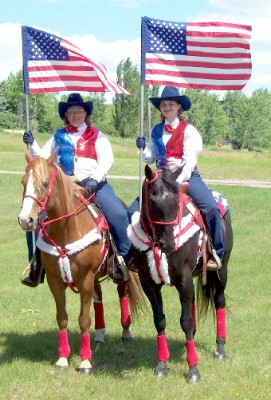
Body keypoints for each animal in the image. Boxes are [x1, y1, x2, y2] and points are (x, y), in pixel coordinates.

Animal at [17, 152, 143, 374]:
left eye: (44, 183)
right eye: (24, 182)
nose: (26, 220)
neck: (66, 231)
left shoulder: (85, 279)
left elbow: (84, 319)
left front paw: (85, 361)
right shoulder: (55, 282)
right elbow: (62, 318)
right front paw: (62, 358)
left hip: (117, 274)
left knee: (122, 293)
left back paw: (126, 332)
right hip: (95, 277)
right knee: (98, 297)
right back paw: (100, 335)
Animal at [128, 165, 234, 382]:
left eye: (176, 202)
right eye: (152, 200)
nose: (167, 244)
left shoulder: (183, 279)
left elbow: (185, 321)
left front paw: (193, 369)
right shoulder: (148, 282)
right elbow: (160, 320)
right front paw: (161, 365)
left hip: (221, 271)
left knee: (219, 302)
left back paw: (220, 348)